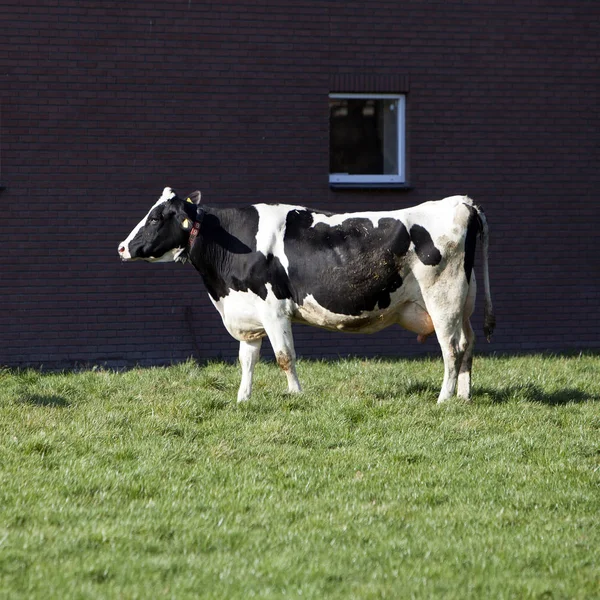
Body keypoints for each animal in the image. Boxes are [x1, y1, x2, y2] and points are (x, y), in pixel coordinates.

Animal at [117, 188, 492, 404]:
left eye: (157, 217)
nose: (122, 247)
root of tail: (462, 203)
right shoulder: (248, 315)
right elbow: (247, 360)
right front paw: (243, 400)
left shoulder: (273, 310)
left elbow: (284, 357)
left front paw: (296, 396)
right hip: (464, 302)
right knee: (468, 343)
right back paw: (463, 397)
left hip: (442, 298)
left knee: (451, 348)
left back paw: (443, 399)